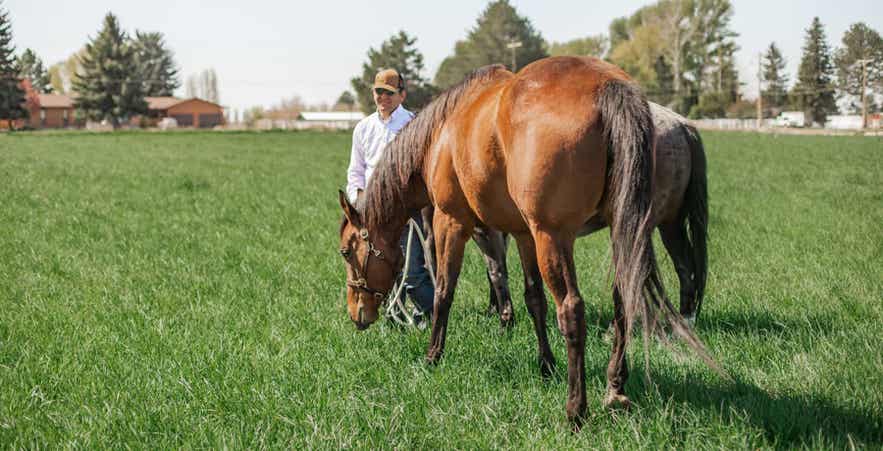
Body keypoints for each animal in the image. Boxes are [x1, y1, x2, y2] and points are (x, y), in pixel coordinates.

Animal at [470, 102, 708, 328]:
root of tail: (680, 124)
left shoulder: (486, 230)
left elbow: (496, 271)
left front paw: (504, 319)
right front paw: (495, 310)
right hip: (671, 222)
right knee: (684, 266)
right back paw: (685, 321)